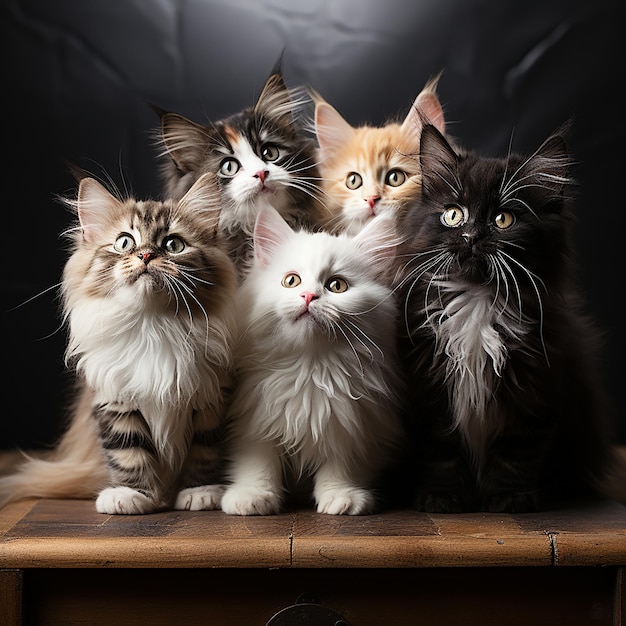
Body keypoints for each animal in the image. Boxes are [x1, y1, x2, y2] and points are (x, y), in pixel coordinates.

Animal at [0, 172, 238, 512]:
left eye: (173, 245)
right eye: (125, 242)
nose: (146, 255)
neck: (153, 326)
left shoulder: (211, 396)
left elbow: (204, 450)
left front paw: (200, 491)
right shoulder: (114, 398)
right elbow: (128, 450)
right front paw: (130, 495)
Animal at [394, 122, 616, 512]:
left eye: (503, 219)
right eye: (454, 214)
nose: (470, 236)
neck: (478, 302)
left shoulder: (537, 387)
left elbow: (517, 450)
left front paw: (511, 499)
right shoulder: (429, 388)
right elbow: (439, 449)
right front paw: (441, 497)